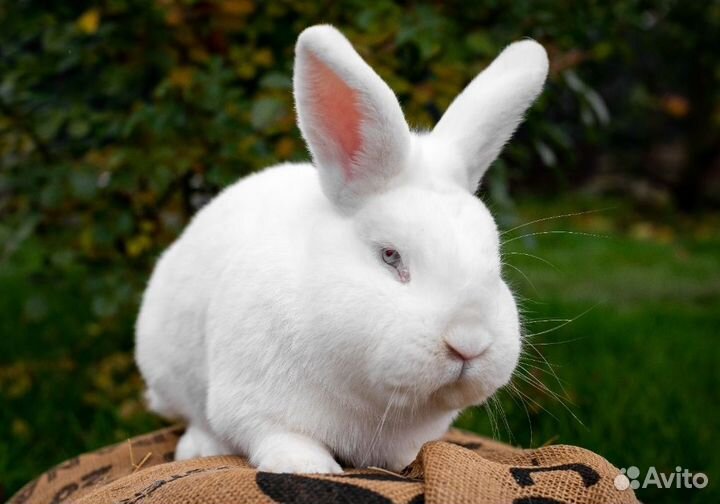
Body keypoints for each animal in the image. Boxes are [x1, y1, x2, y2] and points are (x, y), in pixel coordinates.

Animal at [135, 24, 548, 474]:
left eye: (495, 264)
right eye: (390, 256)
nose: (469, 343)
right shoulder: (252, 404)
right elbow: (279, 436)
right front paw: (308, 468)